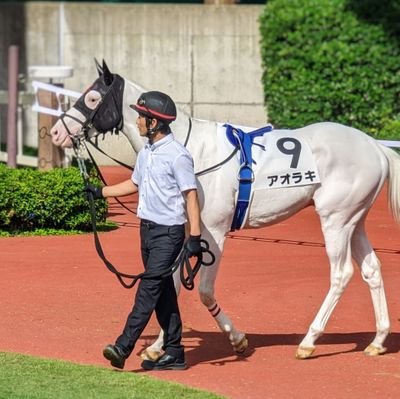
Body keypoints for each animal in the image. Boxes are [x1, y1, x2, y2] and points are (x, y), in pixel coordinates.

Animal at [50, 60, 400, 362]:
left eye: (92, 97)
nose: (56, 132)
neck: (188, 148)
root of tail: (376, 147)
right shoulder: (186, 233)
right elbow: (170, 283)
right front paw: (157, 346)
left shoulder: (213, 232)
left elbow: (203, 290)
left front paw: (237, 339)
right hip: (355, 220)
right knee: (371, 269)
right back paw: (378, 340)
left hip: (335, 220)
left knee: (341, 274)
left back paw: (309, 341)